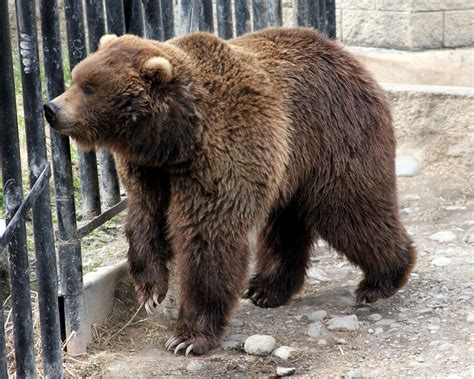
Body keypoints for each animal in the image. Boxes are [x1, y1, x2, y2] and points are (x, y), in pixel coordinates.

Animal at [44, 29, 414, 356]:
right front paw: (151, 290)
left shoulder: (222, 153)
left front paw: (187, 337)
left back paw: (381, 279)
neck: (174, 139)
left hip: (333, 136)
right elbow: (145, 219)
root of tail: (347, 56)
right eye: (76, 77)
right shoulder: (150, 171)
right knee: (286, 224)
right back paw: (267, 288)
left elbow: (207, 238)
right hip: (289, 165)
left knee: (351, 210)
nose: (51, 108)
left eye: (89, 87)